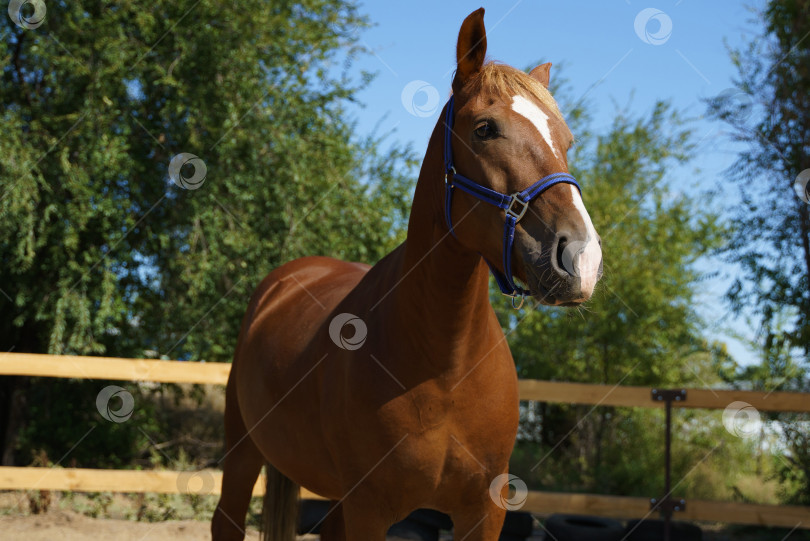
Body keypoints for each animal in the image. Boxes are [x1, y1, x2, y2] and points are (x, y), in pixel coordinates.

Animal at [211, 8, 596, 540]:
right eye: (485, 129)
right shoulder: (370, 510)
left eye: (567, 141)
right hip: (243, 452)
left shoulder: (484, 512)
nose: (580, 257)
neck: (445, 366)